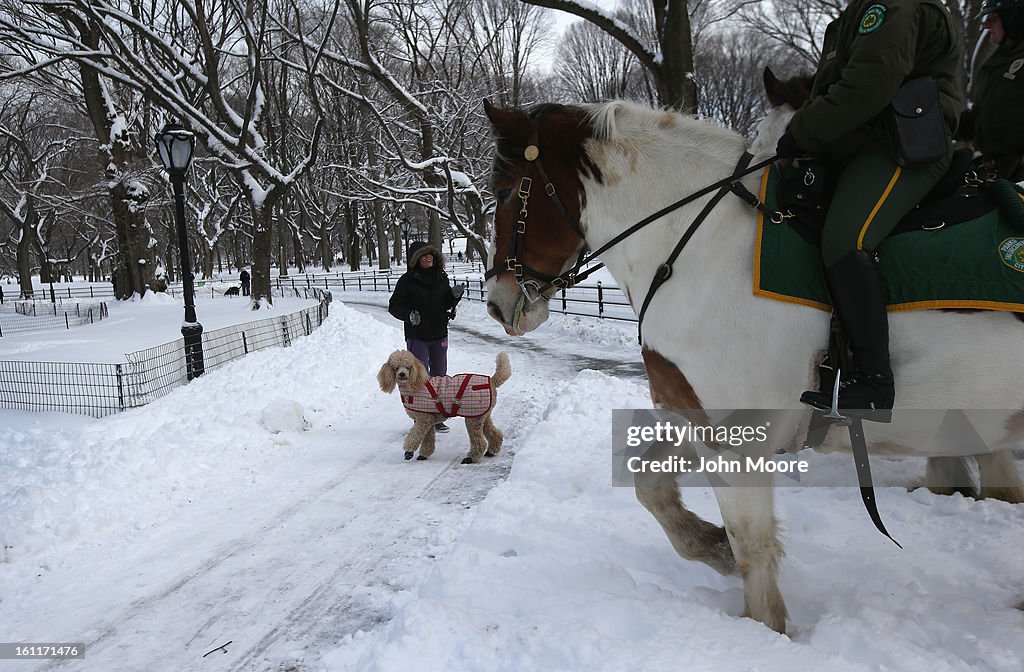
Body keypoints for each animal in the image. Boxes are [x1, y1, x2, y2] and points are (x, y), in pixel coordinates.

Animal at [483, 97, 1024, 631]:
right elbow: (649, 483)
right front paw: (710, 546)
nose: (495, 302)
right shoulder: (695, 416)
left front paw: (765, 627)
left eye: (506, 191)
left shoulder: (736, 440)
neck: (701, 245)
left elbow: (752, 546)